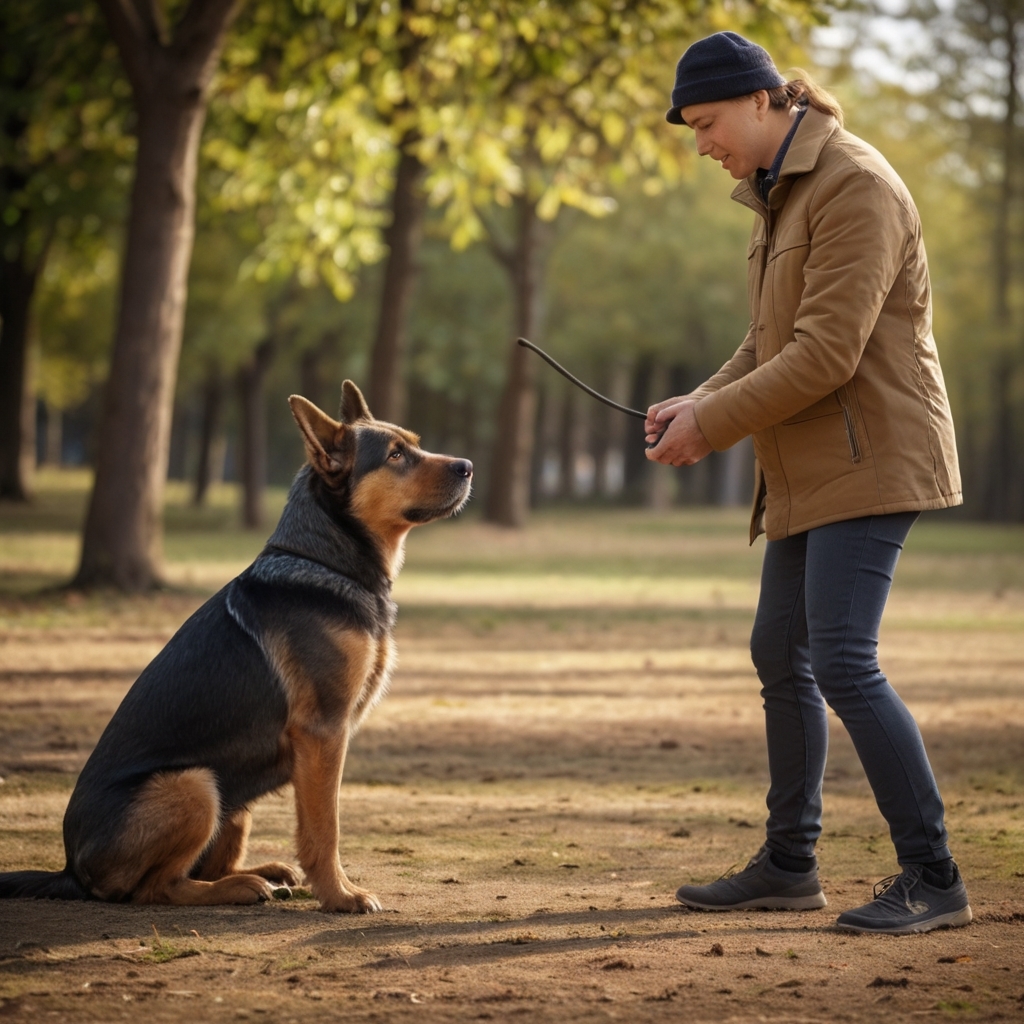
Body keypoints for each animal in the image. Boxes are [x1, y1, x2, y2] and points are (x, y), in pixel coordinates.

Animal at [0, 385, 471, 913]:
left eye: (414, 444)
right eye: (395, 456)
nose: (469, 466)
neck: (327, 559)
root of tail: (70, 870)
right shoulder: (323, 733)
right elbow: (324, 828)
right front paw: (339, 895)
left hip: (233, 798)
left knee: (205, 865)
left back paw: (263, 874)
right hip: (195, 784)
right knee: (156, 888)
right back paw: (239, 888)